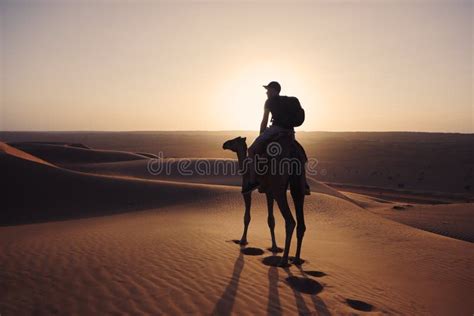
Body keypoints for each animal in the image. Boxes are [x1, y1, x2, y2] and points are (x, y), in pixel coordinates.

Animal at [223, 133, 308, 266]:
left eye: (233, 141)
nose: (224, 144)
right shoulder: (269, 193)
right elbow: (271, 220)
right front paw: (274, 247)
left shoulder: (247, 191)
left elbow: (247, 217)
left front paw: (243, 240)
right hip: (298, 185)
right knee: (301, 223)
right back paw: (296, 259)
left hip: (279, 189)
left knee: (290, 221)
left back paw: (284, 260)